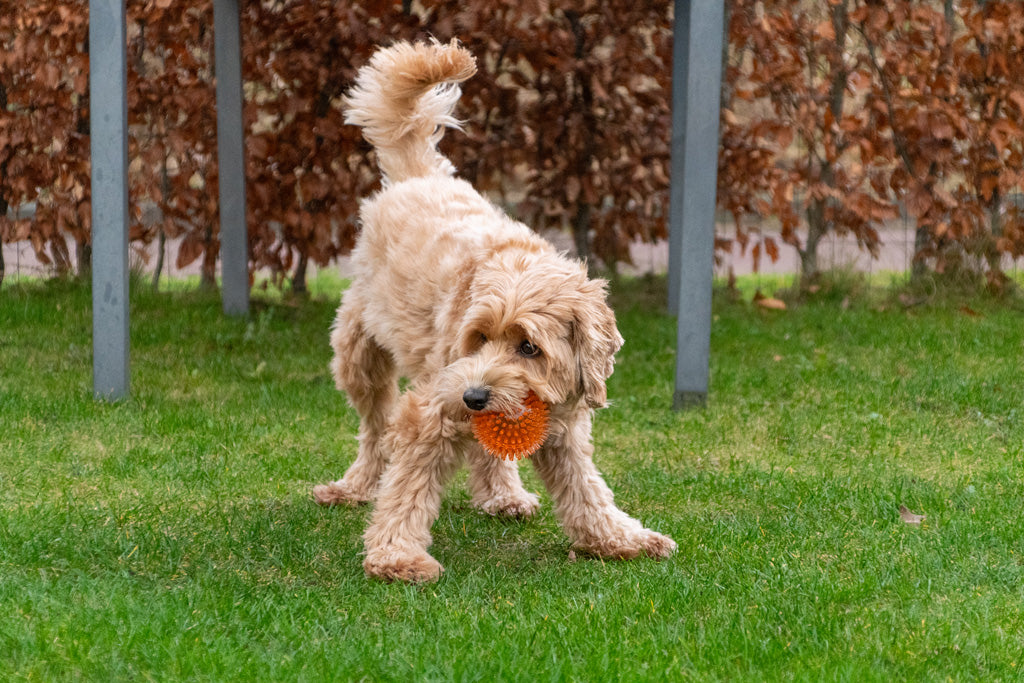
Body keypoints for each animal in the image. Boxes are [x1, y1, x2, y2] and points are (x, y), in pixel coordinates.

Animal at [315, 38, 675, 581]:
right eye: (479, 337)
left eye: (529, 347)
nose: (475, 397)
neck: (515, 268)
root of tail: (420, 175)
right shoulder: (431, 411)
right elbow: (408, 489)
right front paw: (397, 555)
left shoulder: (562, 426)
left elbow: (587, 490)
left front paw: (619, 538)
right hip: (360, 353)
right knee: (376, 430)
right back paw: (355, 488)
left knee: (483, 453)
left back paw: (503, 496)